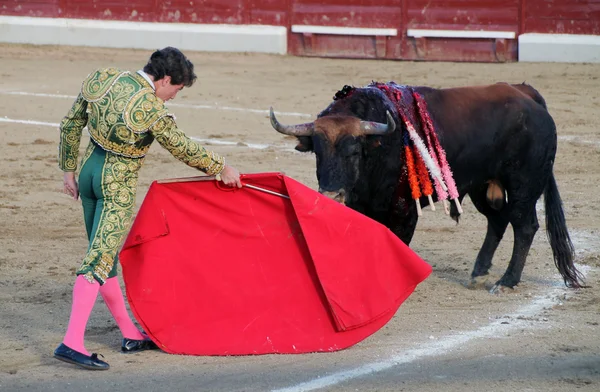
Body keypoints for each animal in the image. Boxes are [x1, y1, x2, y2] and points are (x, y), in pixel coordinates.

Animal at [270, 81, 584, 292]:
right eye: (318, 152)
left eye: (354, 151)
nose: (331, 194)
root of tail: (527, 95)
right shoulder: (362, 204)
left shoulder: (404, 209)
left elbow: (397, 242)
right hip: (482, 186)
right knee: (497, 221)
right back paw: (479, 273)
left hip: (524, 185)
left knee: (525, 226)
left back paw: (506, 282)